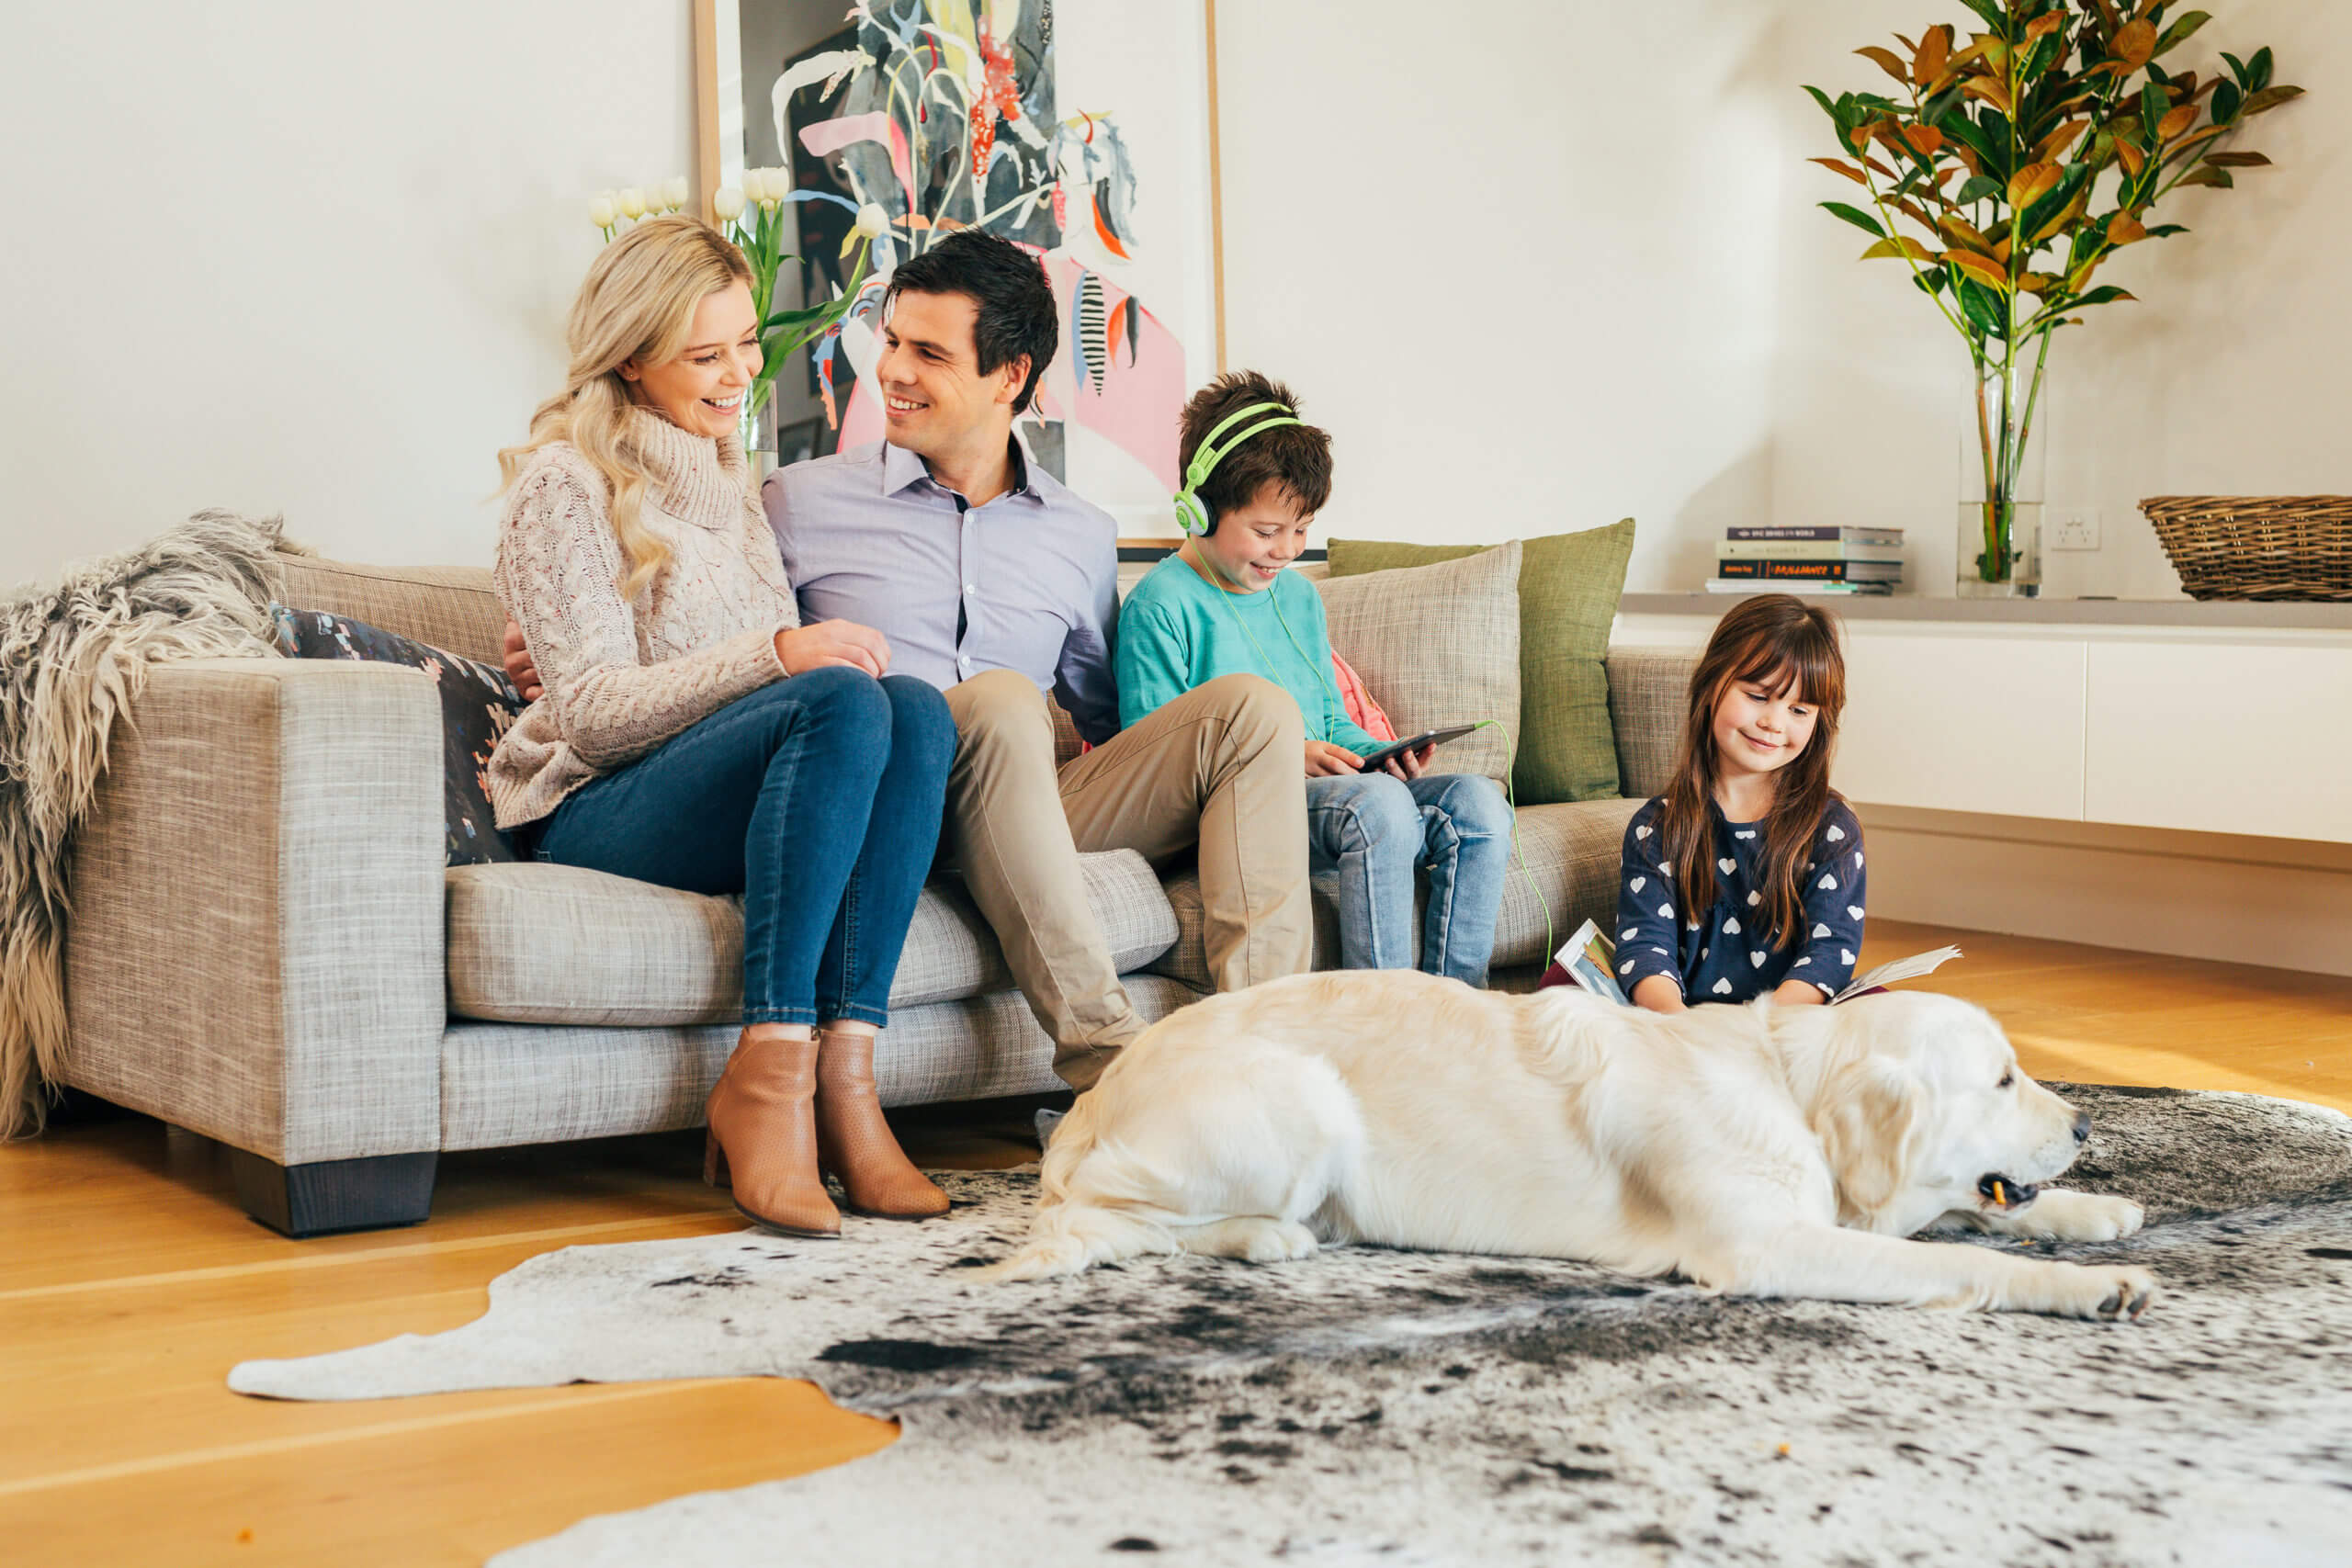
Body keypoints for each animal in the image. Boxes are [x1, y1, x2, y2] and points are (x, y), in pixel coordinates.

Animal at [983, 973, 2154, 1316]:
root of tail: (1091, 1096)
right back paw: (1262, 1239)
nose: (2086, 1122)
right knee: (1102, 1218)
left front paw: (2101, 1211)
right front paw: (2088, 1285)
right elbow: (1960, 1254)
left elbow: (1977, 1210)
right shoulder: (1760, 1244)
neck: (1788, 1086)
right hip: (1302, 1103)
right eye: (1999, 1078)